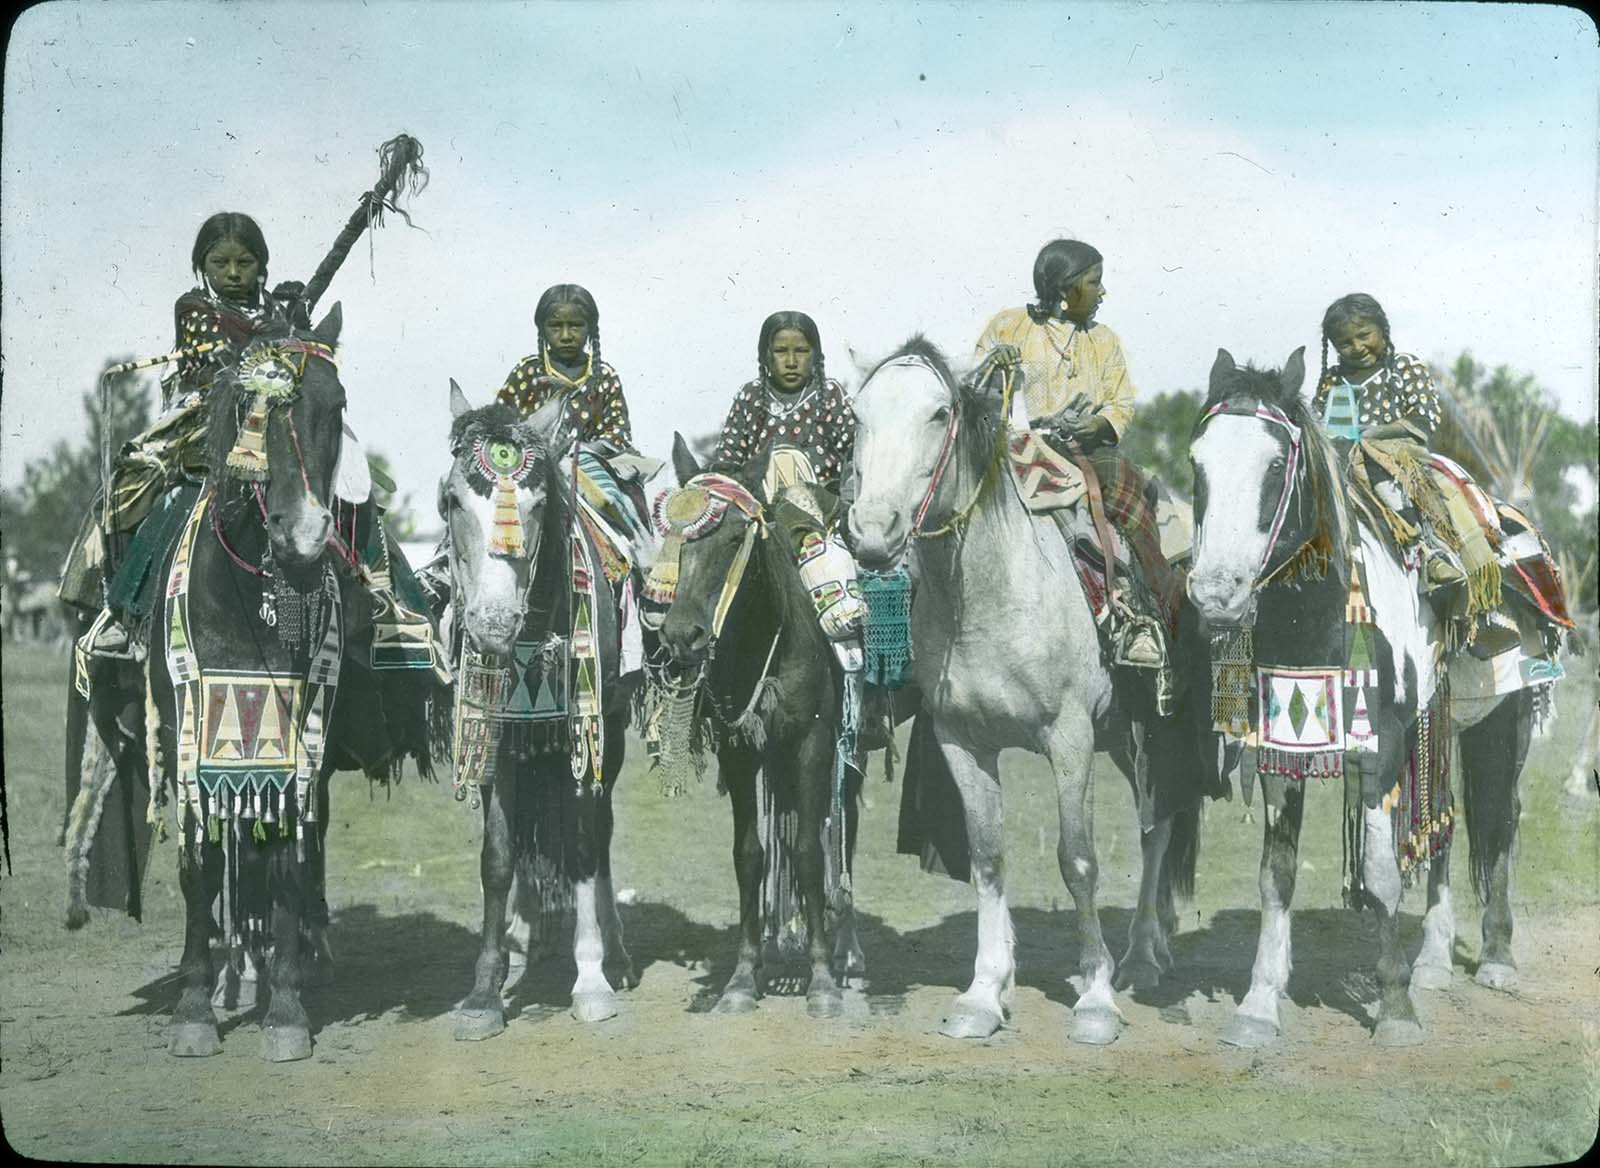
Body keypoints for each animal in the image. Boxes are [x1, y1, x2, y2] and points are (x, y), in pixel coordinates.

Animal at [444, 382, 636, 1036]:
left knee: (600, 834)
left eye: (539, 502)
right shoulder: (499, 738)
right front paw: (484, 990)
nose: (494, 624)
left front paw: (592, 978)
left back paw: (616, 952)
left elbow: (583, 845)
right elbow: (498, 858)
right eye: (450, 501)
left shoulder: (588, 737)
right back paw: (525, 934)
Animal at [851, 332, 1209, 1043]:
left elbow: (1078, 860)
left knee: (1157, 829)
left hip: (1151, 734)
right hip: (1121, 740)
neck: (991, 593)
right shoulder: (962, 742)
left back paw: (1140, 956)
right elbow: (988, 858)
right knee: (1152, 826)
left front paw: (1096, 998)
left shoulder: (1068, 738)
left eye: (939, 414)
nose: (873, 534)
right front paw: (984, 994)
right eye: (858, 417)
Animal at [1190, 348, 1548, 1049]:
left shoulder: (1380, 751)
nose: (1216, 592)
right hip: (1443, 729)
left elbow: (1382, 876)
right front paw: (1258, 1005)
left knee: (1503, 820)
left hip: (1507, 721)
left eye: (1275, 466)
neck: (1321, 614)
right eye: (1198, 463)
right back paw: (1434, 959)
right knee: (1447, 823)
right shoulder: (1283, 755)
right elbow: (1276, 874)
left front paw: (1396, 1009)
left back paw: (1495, 958)